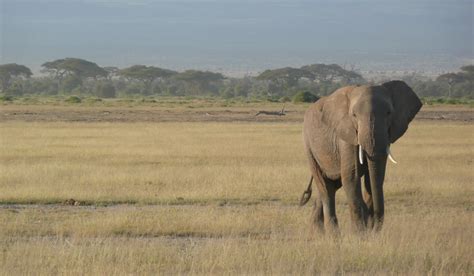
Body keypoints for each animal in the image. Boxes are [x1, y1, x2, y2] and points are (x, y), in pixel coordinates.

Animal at [300, 80, 422, 233]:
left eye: (389, 113)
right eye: (354, 115)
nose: (373, 227)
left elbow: (374, 177)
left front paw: (367, 229)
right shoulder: (346, 134)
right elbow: (351, 176)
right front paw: (359, 233)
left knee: (332, 184)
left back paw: (318, 232)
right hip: (308, 145)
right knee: (325, 186)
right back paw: (333, 235)